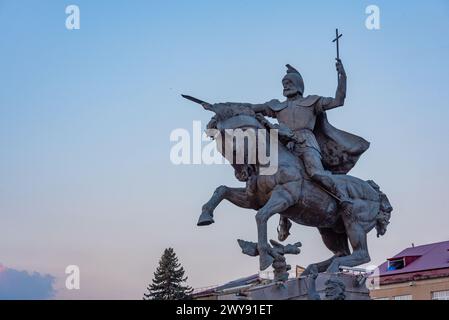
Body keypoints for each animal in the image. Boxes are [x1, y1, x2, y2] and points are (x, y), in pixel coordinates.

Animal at [194, 102, 390, 272]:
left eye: (233, 143)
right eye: (220, 147)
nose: (242, 174)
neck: (270, 161)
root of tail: (375, 193)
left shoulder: (284, 196)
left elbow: (261, 216)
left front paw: (264, 257)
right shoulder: (252, 199)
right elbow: (222, 190)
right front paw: (205, 216)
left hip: (354, 224)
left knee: (361, 254)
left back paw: (329, 270)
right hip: (329, 229)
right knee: (342, 253)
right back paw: (312, 270)